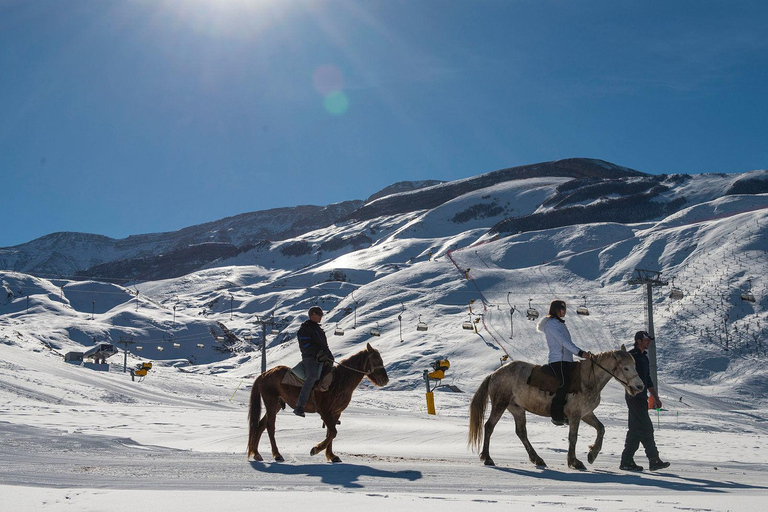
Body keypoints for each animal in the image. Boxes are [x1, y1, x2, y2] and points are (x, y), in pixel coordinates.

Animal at [248, 344, 388, 464]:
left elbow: (330, 433)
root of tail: (264, 374)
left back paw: (256, 453)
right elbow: (333, 432)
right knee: (270, 427)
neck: (339, 381)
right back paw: (277, 455)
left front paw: (332, 456)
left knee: (260, 425)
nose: (385, 380)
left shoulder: (335, 413)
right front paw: (316, 449)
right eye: (376, 360)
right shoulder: (325, 411)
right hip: (271, 403)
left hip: (276, 405)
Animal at [468, 346, 640, 470]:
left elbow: (601, 428)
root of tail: (494, 374)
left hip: (517, 409)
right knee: (489, 426)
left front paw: (592, 454)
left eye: (634, 366)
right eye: (625, 368)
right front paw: (574, 462)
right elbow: (573, 437)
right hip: (500, 404)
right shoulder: (575, 415)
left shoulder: (586, 414)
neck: (588, 379)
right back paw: (487, 458)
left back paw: (537, 459)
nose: (640, 387)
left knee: (521, 433)